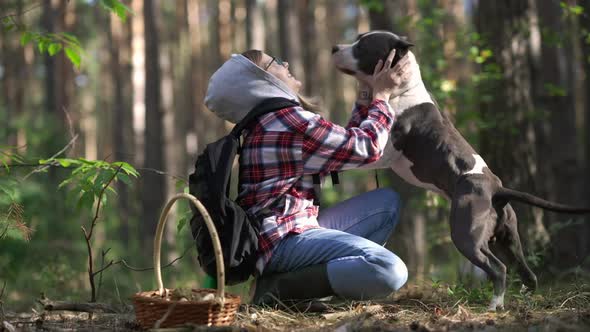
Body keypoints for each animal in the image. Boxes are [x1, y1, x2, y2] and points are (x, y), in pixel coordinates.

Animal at [332, 31, 590, 312]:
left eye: (364, 46)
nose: (334, 47)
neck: (402, 90)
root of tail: (497, 189)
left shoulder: (384, 151)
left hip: (466, 235)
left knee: (498, 268)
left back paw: (493, 306)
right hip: (508, 239)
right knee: (526, 272)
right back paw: (524, 300)